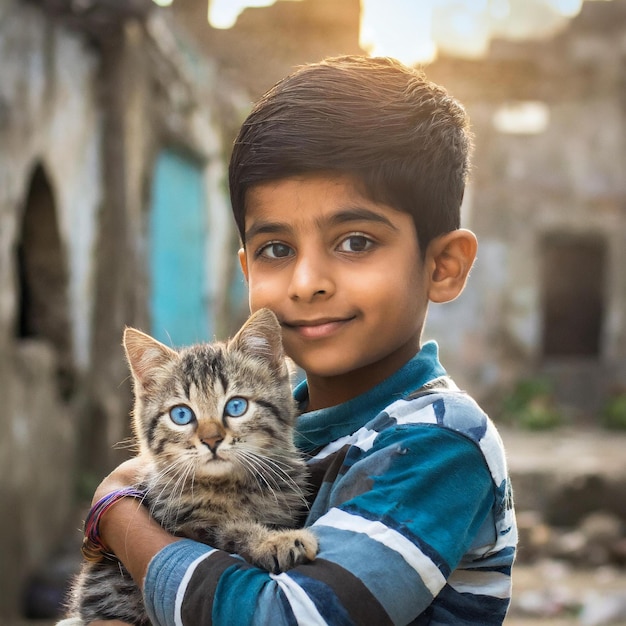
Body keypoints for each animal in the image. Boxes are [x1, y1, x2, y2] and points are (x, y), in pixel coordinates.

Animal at [59, 308, 316, 624]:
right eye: (181, 415)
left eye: (236, 407)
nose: (212, 440)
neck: (230, 486)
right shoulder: (185, 525)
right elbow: (229, 530)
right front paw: (275, 542)